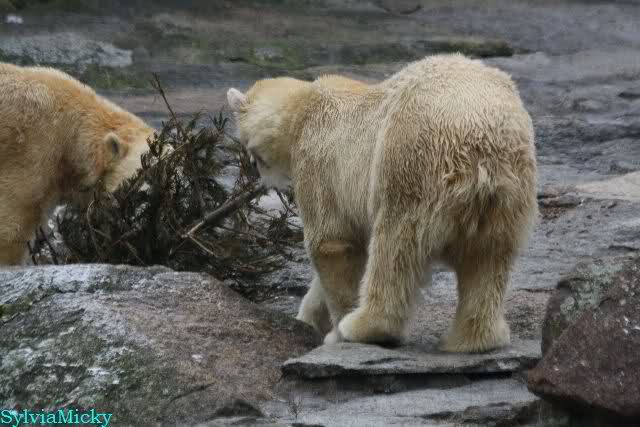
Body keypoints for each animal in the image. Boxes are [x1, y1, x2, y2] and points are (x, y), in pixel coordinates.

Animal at [227, 53, 538, 352]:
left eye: (250, 149)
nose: (257, 172)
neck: (303, 107)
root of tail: (482, 146)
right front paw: (308, 318)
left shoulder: (318, 159)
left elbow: (331, 242)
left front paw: (335, 332)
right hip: (509, 191)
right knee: (489, 258)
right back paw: (475, 339)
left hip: (410, 160)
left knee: (395, 246)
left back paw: (364, 326)